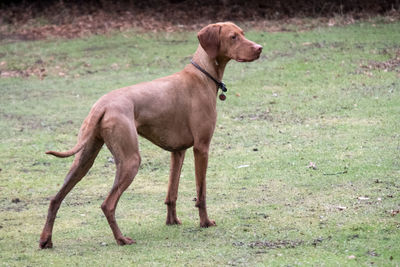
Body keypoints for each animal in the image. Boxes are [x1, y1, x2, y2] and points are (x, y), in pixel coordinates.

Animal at [38, 22, 262, 250]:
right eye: (233, 37)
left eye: (242, 34)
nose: (259, 48)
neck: (202, 75)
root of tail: (103, 105)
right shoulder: (201, 147)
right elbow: (201, 193)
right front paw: (205, 222)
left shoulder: (178, 152)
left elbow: (172, 193)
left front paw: (172, 221)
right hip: (130, 161)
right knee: (107, 204)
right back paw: (121, 239)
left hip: (84, 160)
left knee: (55, 199)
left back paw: (46, 239)